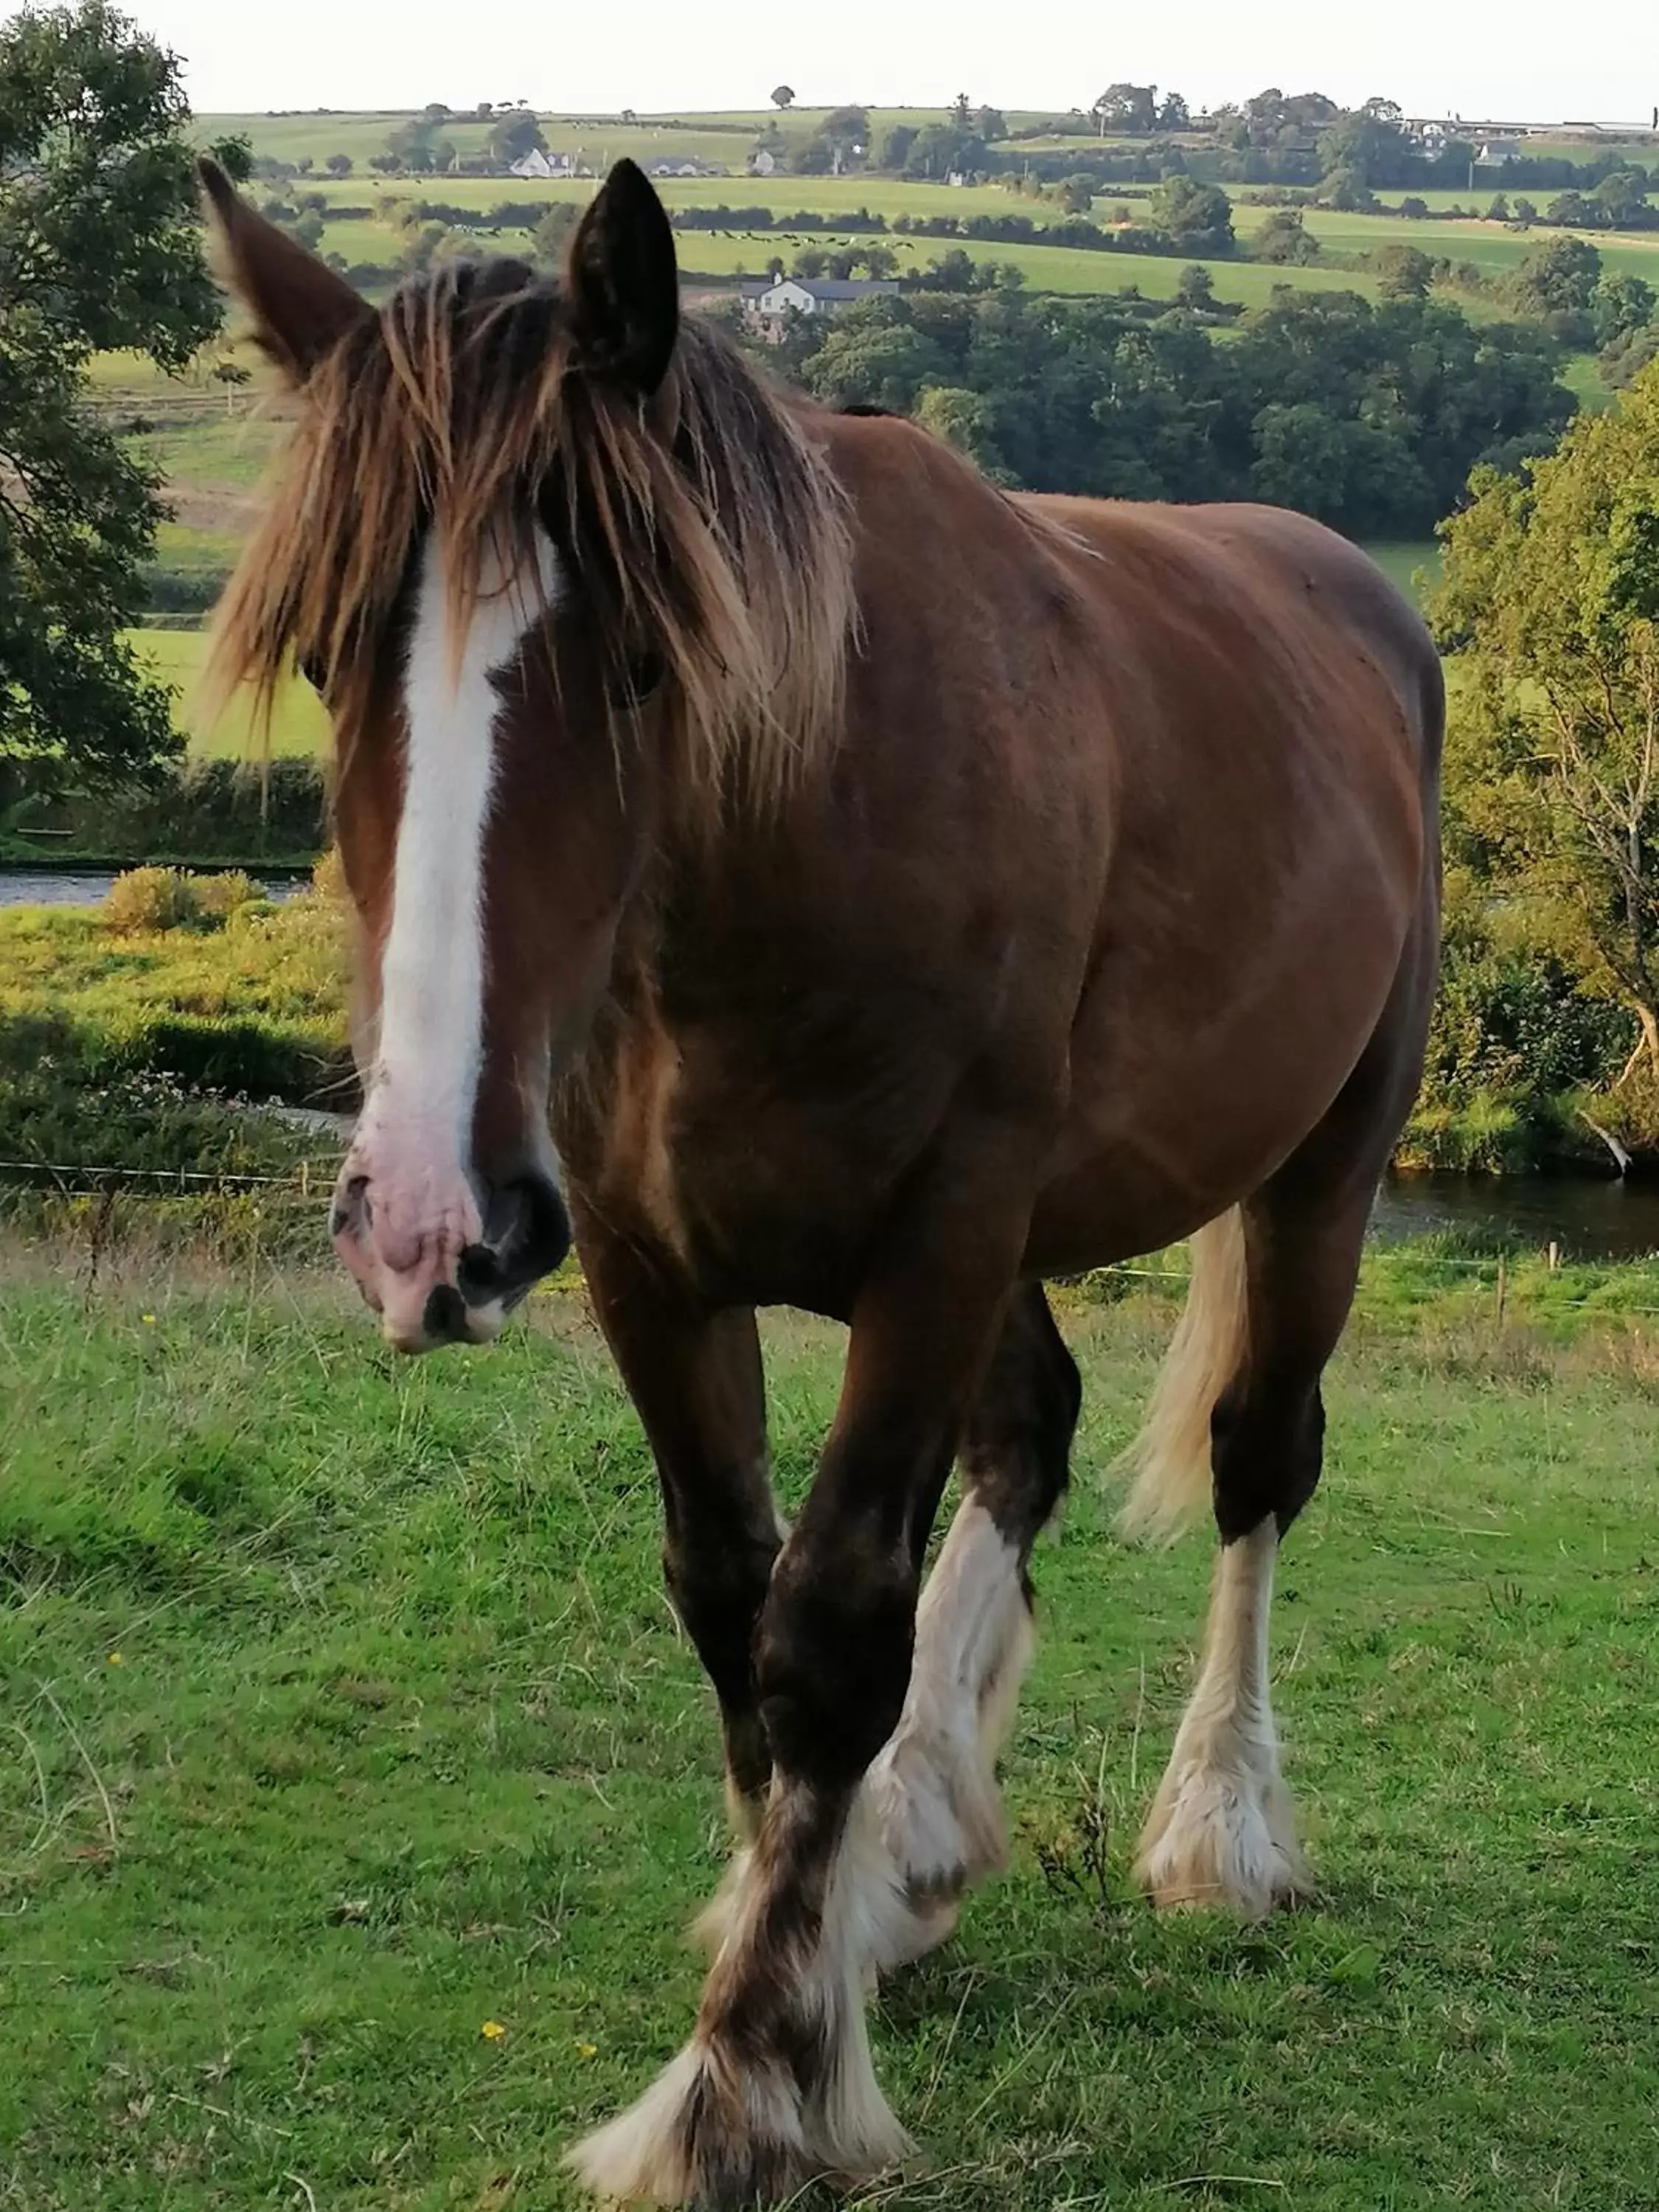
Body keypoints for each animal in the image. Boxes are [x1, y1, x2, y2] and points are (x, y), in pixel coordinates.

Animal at [204, 160, 1442, 2212]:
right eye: (323, 659)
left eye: (644, 660)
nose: (423, 1224)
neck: (790, 835)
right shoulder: (646, 1256)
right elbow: (731, 1596)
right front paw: (807, 1907)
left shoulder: (940, 1231)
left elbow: (836, 1622)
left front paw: (751, 2081)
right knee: (1029, 1433)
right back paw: (918, 1832)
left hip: (1315, 1169)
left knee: (1259, 1462)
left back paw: (1217, 1828)